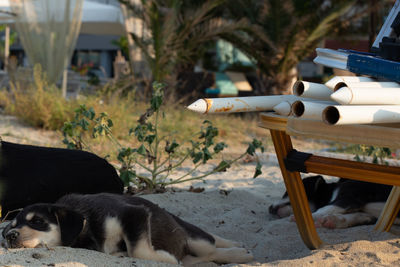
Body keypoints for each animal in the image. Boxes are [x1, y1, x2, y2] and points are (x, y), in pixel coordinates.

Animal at [1, 193, 253, 266]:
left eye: (37, 221)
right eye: (8, 230)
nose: (10, 236)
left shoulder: (134, 215)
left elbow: (138, 249)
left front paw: (166, 258)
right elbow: (131, 250)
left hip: (193, 237)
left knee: (211, 245)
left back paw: (239, 251)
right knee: (205, 255)